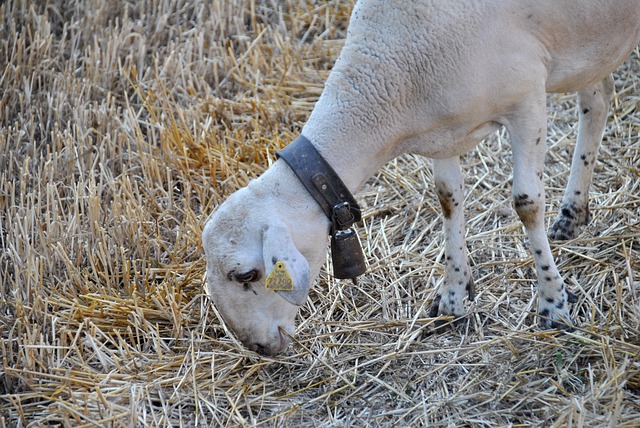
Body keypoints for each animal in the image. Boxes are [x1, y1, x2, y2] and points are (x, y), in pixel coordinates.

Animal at [201, 0, 640, 356]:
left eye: (246, 275)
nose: (256, 347)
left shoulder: (528, 101)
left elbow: (527, 204)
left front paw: (553, 304)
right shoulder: (443, 131)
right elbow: (448, 198)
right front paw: (452, 298)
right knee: (599, 98)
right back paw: (573, 213)